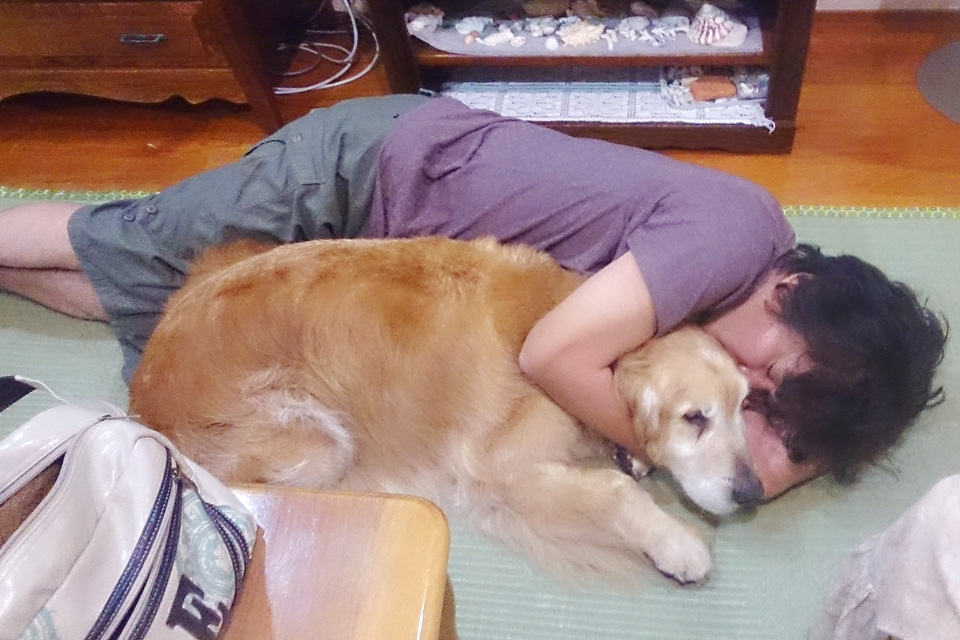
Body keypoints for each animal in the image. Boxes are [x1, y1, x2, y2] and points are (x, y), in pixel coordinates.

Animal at [129, 236, 762, 584]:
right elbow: (614, 491)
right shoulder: (496, 469)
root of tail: (140, 391)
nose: (754, 492)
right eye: (695, 418)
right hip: (317, 443)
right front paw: (677, 544)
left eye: (744, 404)